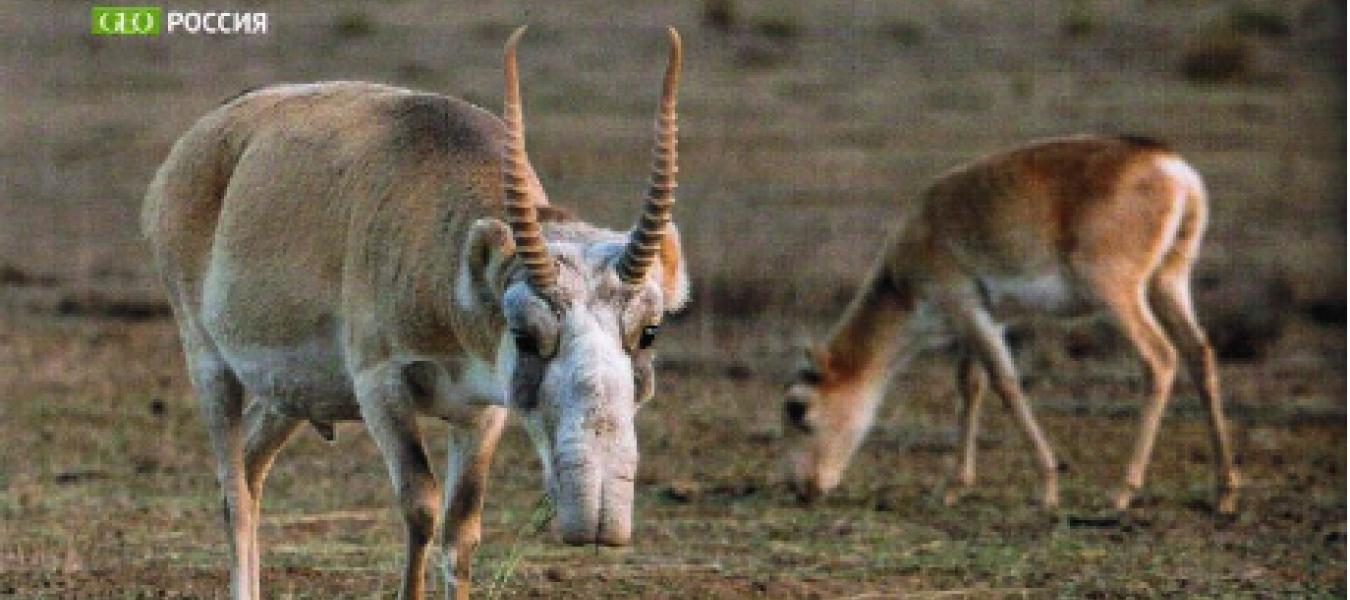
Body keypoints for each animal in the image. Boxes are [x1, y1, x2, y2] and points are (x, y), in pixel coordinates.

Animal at [143, 28, 691, 600]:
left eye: (650, 331)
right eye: (524, 333)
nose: (598, 519)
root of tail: (198, 141)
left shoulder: (482, 411)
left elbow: (462, 528)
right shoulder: (380, 386)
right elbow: (421, 506)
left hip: (289, 397)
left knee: (250, 464)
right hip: (208, 362)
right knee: (233, 492)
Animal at [788, 135, 1236, 516]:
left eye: (799, 409)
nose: (801, 488)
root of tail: (1172, 167)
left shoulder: (966, 309)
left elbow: (1006, 384)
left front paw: (1048, 488)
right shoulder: (982, 320)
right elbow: (971, 386)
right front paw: (954, 487)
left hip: (1118, 294)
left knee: (1160, 359)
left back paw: (1122, 492)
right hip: (1168, 283)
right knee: (1200, 354)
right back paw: (1225, 493)